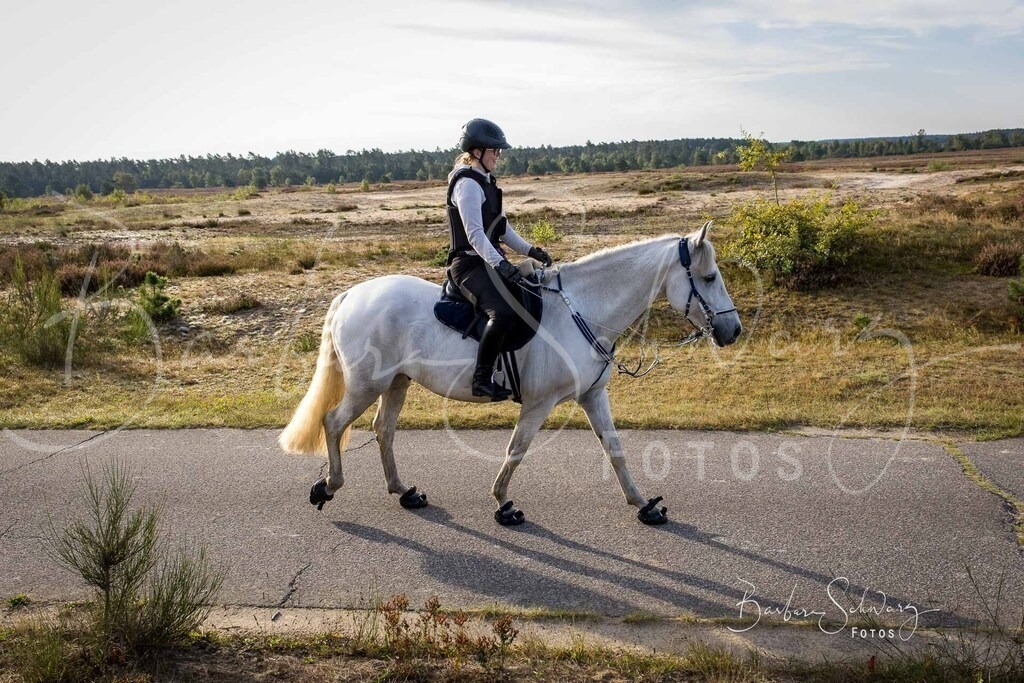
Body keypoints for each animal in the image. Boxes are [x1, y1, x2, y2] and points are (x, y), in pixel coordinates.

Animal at [278, 221, 741, 526]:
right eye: (708, 277)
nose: (733, 330)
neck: (581, 310)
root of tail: (351, 294)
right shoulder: (539, 404)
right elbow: (516, 450)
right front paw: (503, 504)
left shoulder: (593, 396)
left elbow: (615, 449)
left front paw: (644, 504)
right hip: (367, 384)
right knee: (333, 422)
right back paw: (327, 486)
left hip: (396, 382)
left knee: (383, 430)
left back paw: (404, 491)